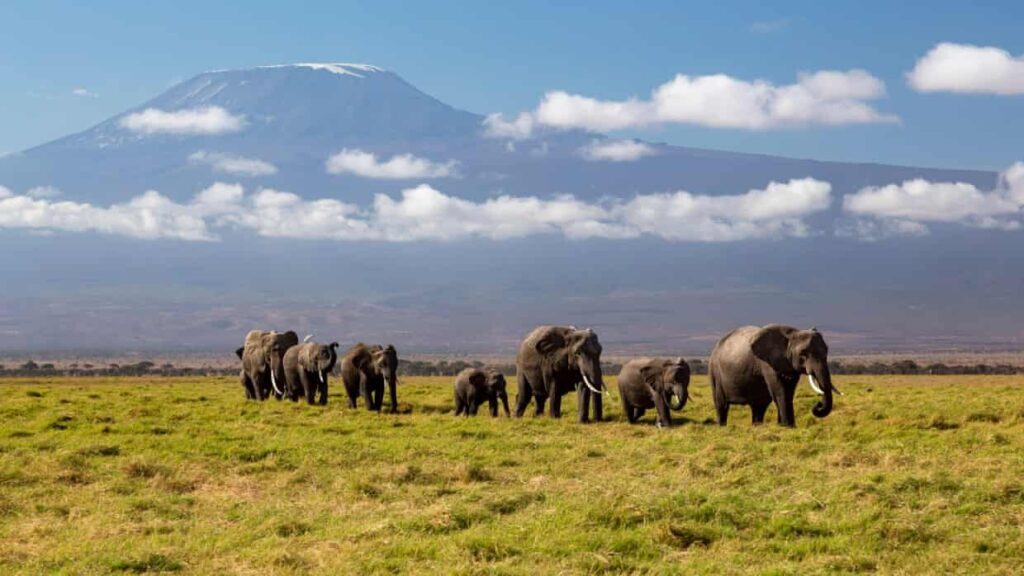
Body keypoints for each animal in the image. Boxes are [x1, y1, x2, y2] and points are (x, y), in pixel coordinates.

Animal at [708, 324, 840, 427]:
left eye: (827, 351)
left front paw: (787, 426)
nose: (818, 404)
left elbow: (789, 392)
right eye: (803, 353)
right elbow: (779, 391)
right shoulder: (767, 363)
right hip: (715, 371)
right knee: (722, 405)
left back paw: (757, 427)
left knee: (759, 407)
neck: (791, 334)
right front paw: (786, 426)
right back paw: (722, 427)